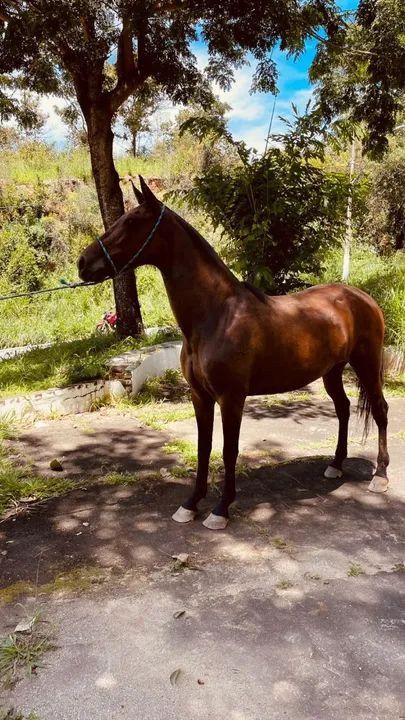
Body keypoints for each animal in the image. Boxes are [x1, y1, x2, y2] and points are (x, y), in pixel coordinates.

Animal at [78, 176, 390, 530]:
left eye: (131, 222)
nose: (83, 263)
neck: (215, 316)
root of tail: (362, 297)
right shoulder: (200, 396)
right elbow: (204, 448)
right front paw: (190, 504)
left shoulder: (231, 397)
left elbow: (229, 450)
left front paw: (220, 509)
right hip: (332, 371)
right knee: (343, 408)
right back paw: (335, 465)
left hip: (367, 363)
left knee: (380, 410)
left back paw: (380, 476)